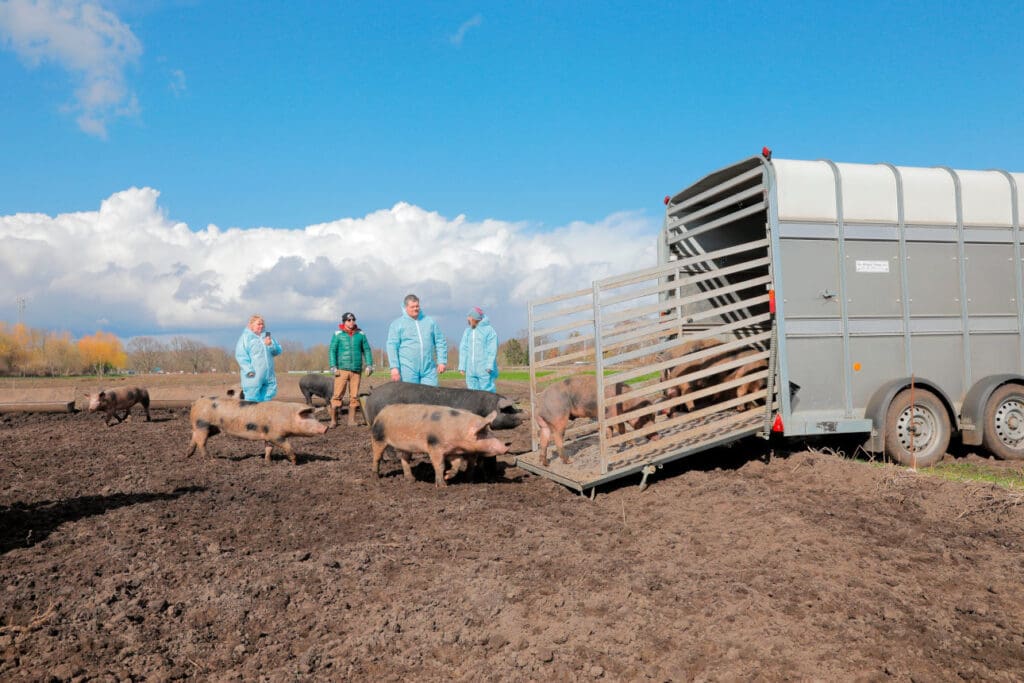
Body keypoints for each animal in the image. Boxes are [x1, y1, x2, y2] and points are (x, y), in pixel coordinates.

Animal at [184, 395, 325, 464]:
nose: (326, 427)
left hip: (211, 428)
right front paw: (295, 462)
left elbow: (268, 448)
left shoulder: (267, 435)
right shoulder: (275, 435)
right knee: (201, 442)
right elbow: (287, 445)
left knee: (194, 437)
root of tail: (195, 403)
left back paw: (187, 455)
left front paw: (268, 462)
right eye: (308, 418)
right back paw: (211, 460)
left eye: (314, 417)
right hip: (202, 424)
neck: (287, 416)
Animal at [370, 403, 509, 489]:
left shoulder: (452, 451)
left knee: (404, 459)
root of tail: (381, 412)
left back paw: (411, 480)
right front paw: (443, 486)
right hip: (378, 437)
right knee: (376, 457)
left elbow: (456, 464)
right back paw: (376, 477)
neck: (458, 432)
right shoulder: (434, 446)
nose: (506, 447)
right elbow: (439, 465)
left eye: (490, 431)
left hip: (406, 446)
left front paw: (448, 476)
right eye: (482, 433)